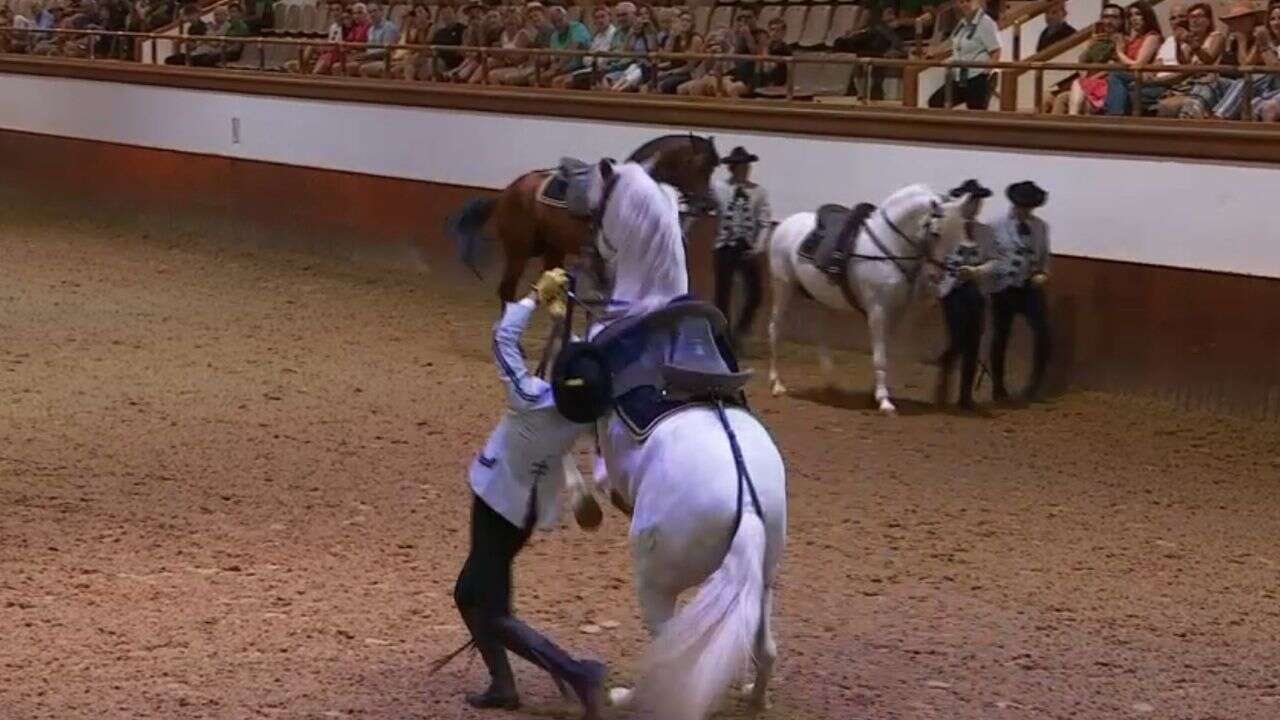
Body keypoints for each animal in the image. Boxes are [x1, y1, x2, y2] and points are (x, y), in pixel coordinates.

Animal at [448, 133, 721, 302]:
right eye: (696, 165)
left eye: (711, 169)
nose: (706, 204)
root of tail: (507, 192)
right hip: (519, 251)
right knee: (506, 290)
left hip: (552, 250)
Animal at [552, 159, 783, 712]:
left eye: (596, 185)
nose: (563, 175)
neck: (642, 306)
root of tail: (746, 508)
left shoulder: (580, 408)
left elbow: (567, 451)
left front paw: (586, 507)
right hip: (764, 582)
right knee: (765, 649)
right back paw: (754, 697)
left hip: (657, 583)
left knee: (669, 647)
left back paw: (628, 696)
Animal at [762, 181, 962, 412]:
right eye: (936, 233)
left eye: (958, 234)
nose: (938, 274)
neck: (888, 247)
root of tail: (783, 225)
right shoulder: (877, 310)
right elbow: (879, 356)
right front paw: (884, 401)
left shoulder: (896, 313)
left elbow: (886, 352)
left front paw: (874, 392)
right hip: (783, 287)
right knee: (775, 329)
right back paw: (777, 384)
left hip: (820, 297)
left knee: (819, 333)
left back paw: (831, 382)